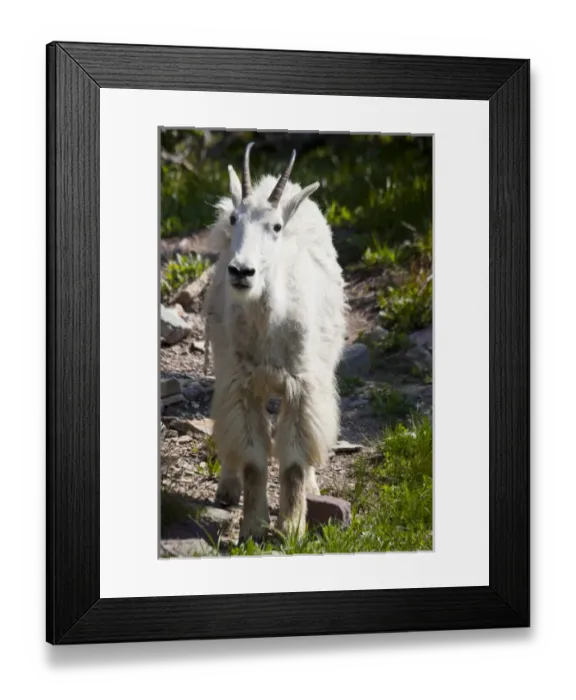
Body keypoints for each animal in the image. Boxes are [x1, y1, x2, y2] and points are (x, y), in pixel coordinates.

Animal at [203, 141, 347, 542]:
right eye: (234, 219)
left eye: (276, 227)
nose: (241, 271)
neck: (268, 324)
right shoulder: (241, 384)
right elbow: (252, 459)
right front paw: (253, 529)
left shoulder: (301, 384)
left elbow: (295, 461)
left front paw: (292, 530)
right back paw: (227, 488)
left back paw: (312, 488)